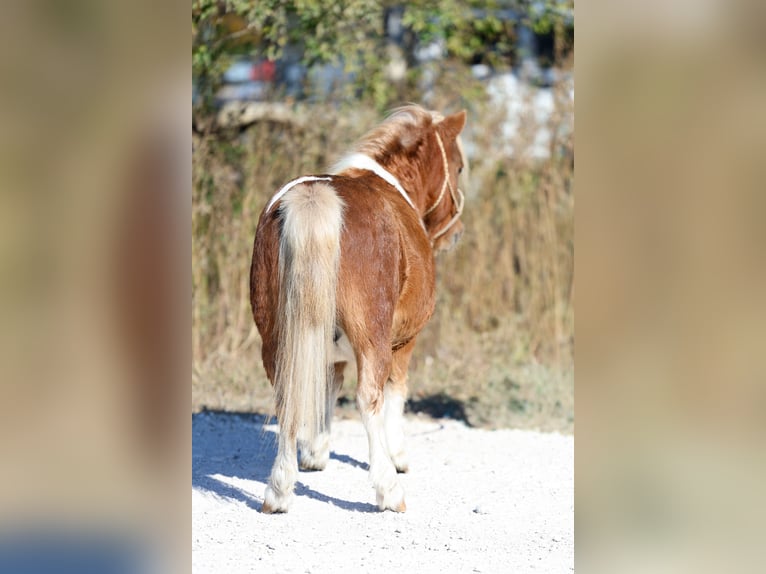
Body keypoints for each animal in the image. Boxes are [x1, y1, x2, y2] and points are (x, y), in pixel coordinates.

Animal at [249, 105, 467, 513]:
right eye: (459, 167)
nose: (456, 234)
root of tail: (316, 196)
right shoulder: (403, 343)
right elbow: (395, 393)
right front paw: (397, 457)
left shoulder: (326, 347)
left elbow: (327, 387)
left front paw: (316, 453)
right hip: (372, 339)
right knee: (370, 397)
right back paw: (388, 490)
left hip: (277, 337)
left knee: (287, 396)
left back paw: (279, 489)